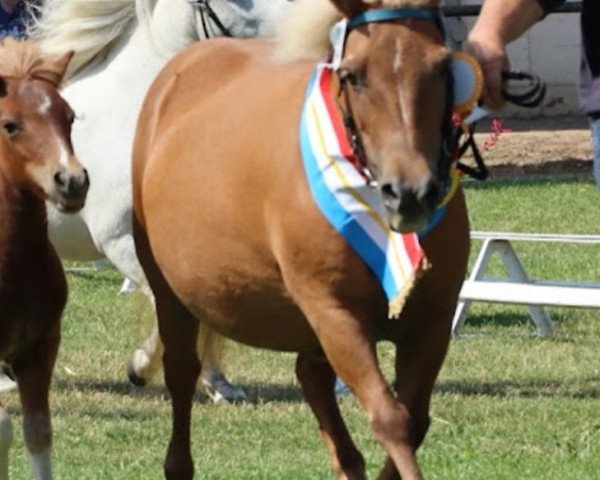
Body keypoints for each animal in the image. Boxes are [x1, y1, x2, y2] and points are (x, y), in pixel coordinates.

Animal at [134, 0, 472, 476]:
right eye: (353, 75)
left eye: (443, 67)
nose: (410, 193)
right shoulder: (335, 315)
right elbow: (391, 419)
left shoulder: (433, 321)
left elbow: (415, 418)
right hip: (172, 296)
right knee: (182, 374)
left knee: (312, 381)